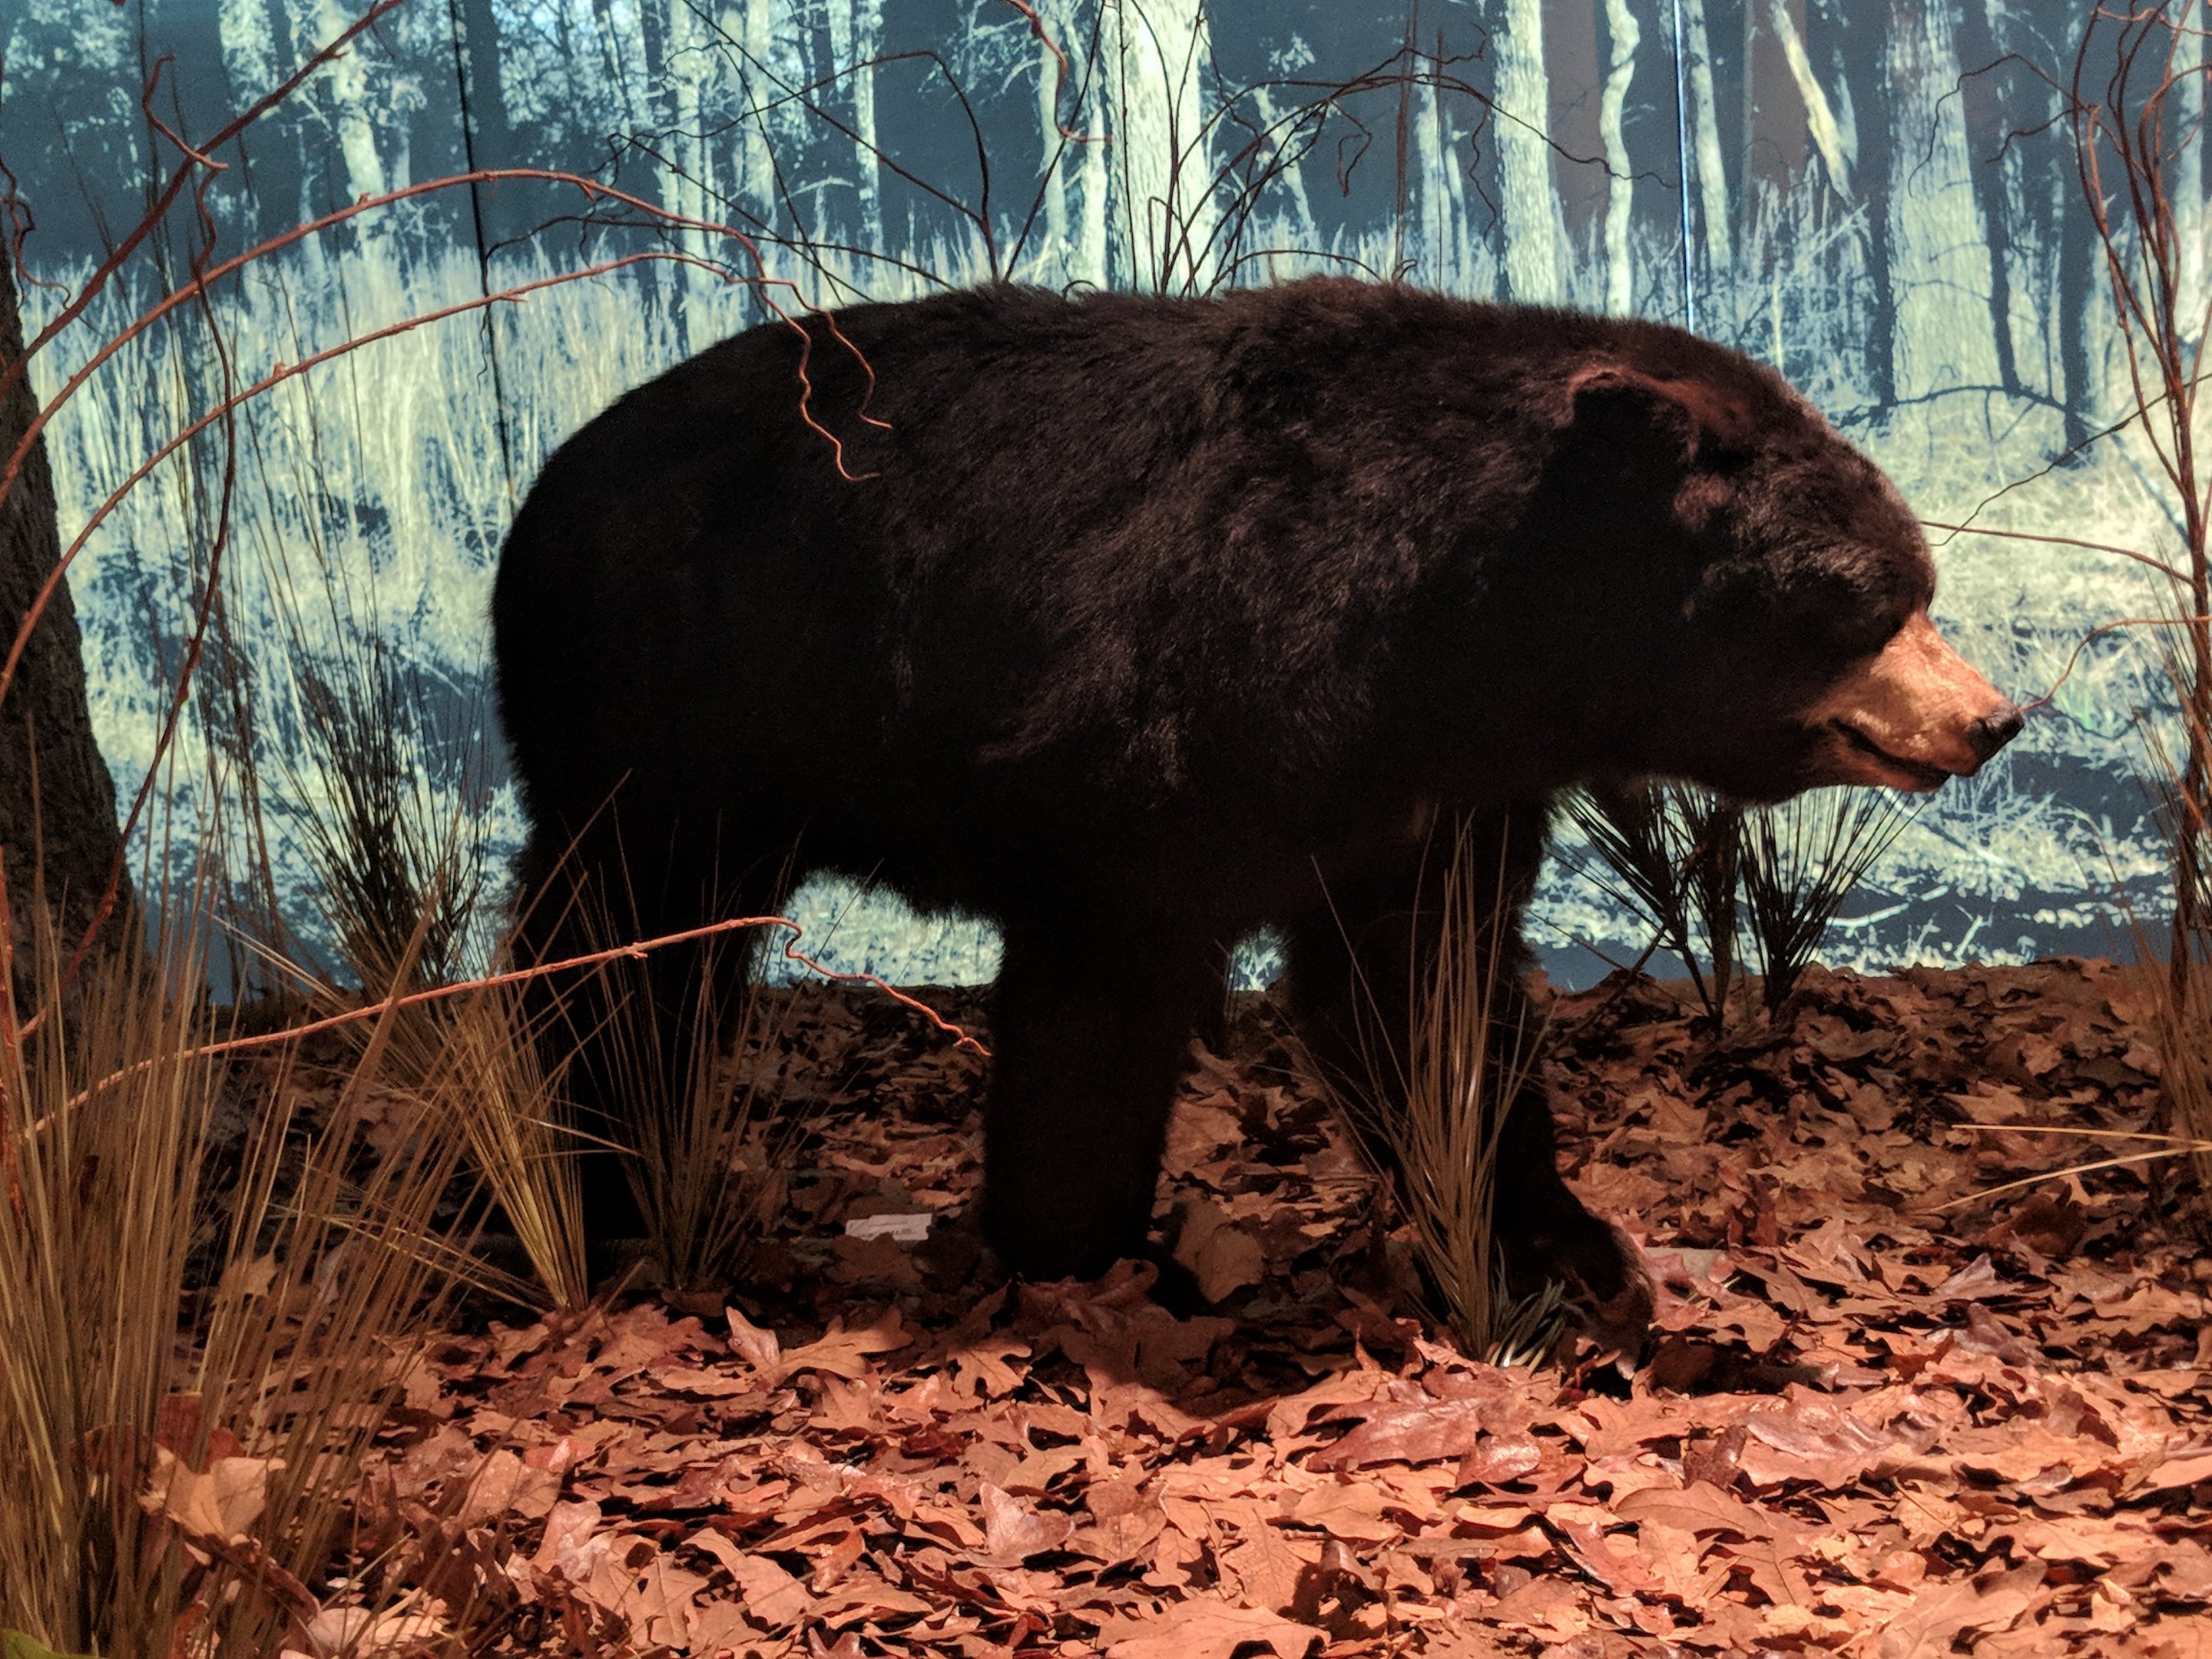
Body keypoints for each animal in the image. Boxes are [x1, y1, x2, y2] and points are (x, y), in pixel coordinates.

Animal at [490, 277, 2019, 1332]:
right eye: (1870, 599)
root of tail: (547, 485)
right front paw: (1070, 1248)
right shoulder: (1180, 720)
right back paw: (585, 1181)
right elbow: (1106, 986)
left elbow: (1425, 996)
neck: (1457, 628)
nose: (1992, 719)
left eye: (1919, 583)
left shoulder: (1440, 788)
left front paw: (1574, 1250)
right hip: (663, 721)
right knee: (610, 952)